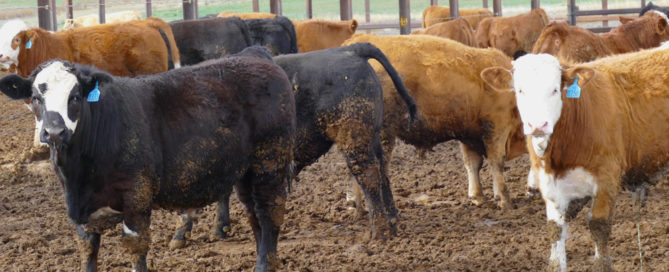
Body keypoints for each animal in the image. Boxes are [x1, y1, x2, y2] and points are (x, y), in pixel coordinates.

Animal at [0, 49, 294, 272]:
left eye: (74, 96)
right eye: (36, 97)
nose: (54, 132)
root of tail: (256, 56)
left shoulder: (136, 197)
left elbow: (136, 247)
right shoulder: (81, 212)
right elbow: (88, 250)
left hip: (271, 161)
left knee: (269, 212)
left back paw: (264, 264)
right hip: (245, 172)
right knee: (253, 214)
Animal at [342, 33, 528, 208]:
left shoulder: (469, 133)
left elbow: (473, 164)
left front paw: (478, 196)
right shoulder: (497, 127)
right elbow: (496, 162)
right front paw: (504, 199)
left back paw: (356, 204)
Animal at [482, 48, 668, 272]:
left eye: (555, 90)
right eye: (520, 90)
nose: (538, 125)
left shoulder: (606, 179)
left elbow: (599, 226)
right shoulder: (550, 186)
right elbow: (555, 231)